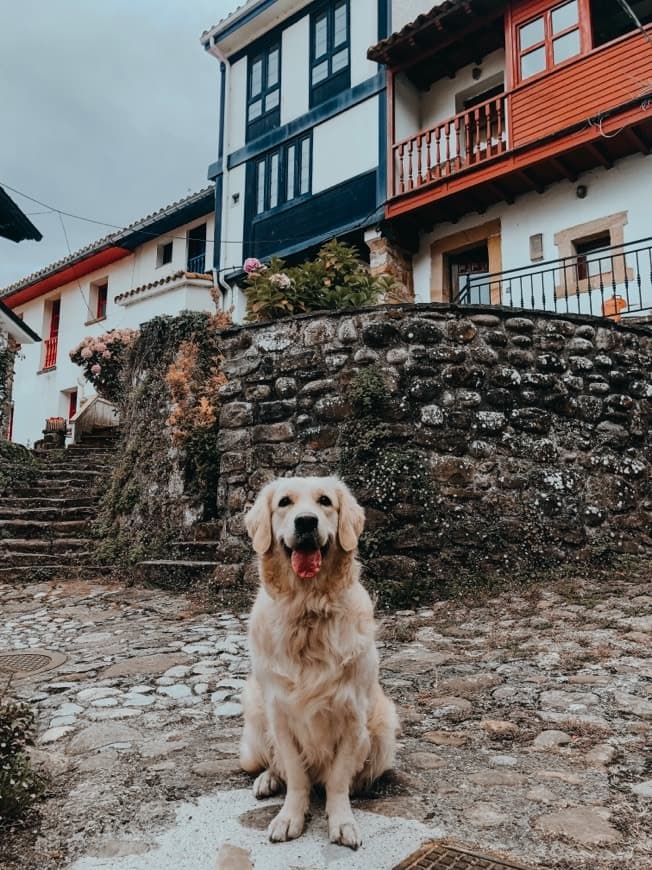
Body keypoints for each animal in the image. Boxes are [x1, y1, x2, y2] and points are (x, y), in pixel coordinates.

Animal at [242, 476, 400, 852]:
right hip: (254, 715)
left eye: (325, 501)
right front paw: (290, 817)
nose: (306, 522)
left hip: (385, 726)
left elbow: (338, 779)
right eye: (284, 502)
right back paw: (268, 780)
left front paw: (341, 820)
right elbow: (296, 774)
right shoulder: (279, 714)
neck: (307, 609)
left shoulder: (353, 714)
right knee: (273, 764)